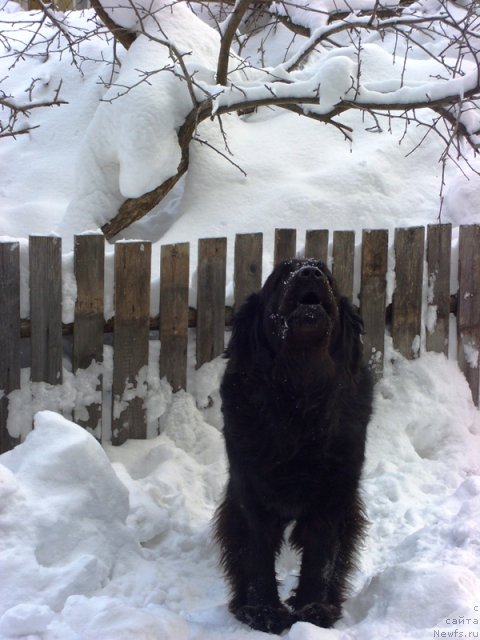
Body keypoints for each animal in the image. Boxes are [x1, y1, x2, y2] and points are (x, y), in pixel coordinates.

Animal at [215, 258, 376, 632]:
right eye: (281, 276)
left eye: (326, 273)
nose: (309, 273)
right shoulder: (250, 493)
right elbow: (256, 554)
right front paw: (263, 612)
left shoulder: (333, 495)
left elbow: (321, 555)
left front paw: (313, 611)